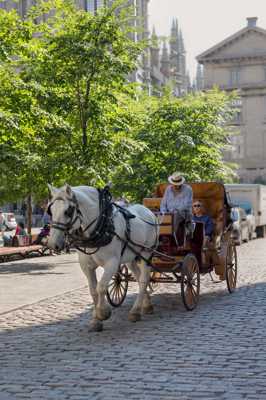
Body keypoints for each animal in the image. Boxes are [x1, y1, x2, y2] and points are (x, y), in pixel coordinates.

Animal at [47, 184, 158, 332]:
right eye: (51, 210)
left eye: (68, 211)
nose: (53, 244)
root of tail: (148, 211)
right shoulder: (86, 266)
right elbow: (93, 291)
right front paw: (95, 321)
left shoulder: (112, 263)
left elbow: (101, 287)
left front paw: (103, 313)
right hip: (131, 257)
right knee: (139, 278)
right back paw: (146, 305)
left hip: (146, 253)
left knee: (144, 279)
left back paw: (135, 312)